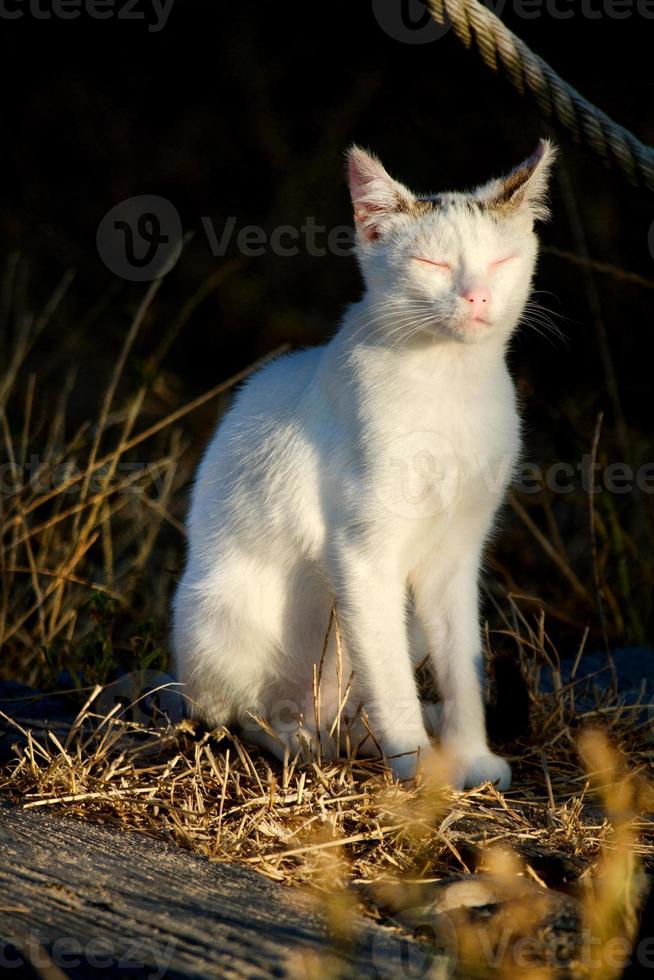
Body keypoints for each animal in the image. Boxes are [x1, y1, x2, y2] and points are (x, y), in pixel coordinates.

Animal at [172, 142, 556, 792]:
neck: (449, 382)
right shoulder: (361, 555)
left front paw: (469, 755)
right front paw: (417, 769)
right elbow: (392, 679)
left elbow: (463, 669)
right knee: (239, 714)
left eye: (501, 262)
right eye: (431, 263)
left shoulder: (457, 556)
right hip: (223, 610)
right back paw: (300, 740)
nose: (477, 297)